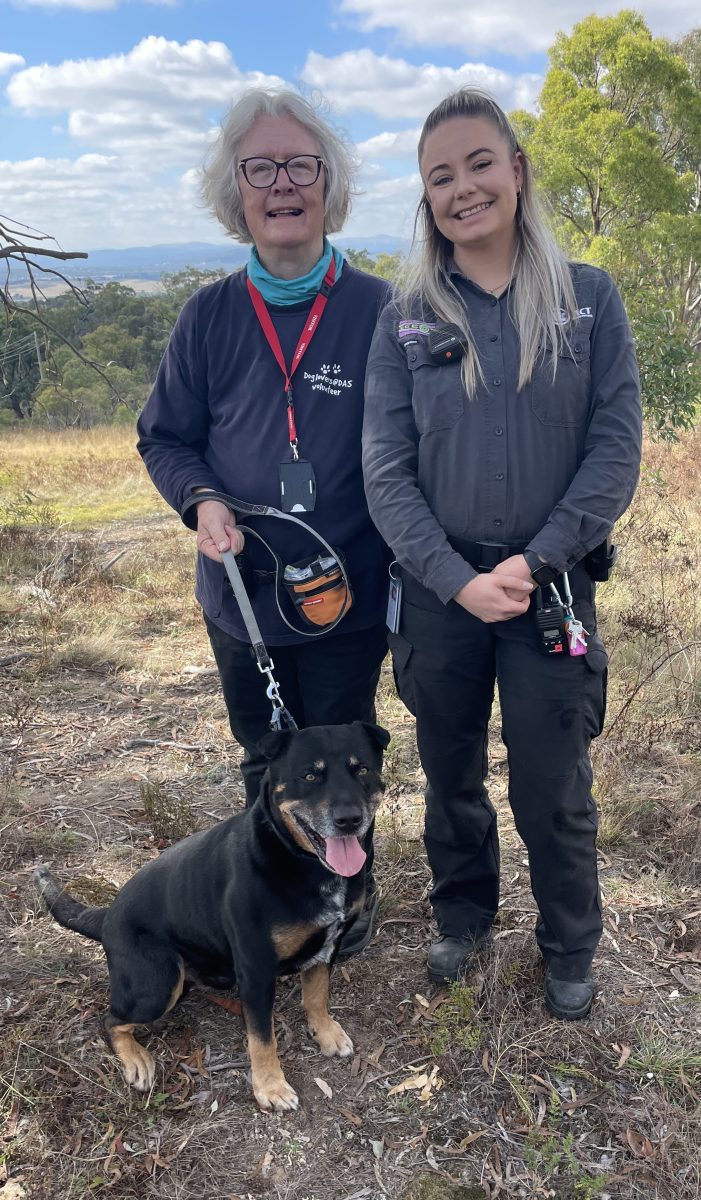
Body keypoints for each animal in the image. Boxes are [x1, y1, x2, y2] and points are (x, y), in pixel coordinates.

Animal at [34, 715, 388, 1108]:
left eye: (362, 769)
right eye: (310, 775)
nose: (349, 819)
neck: (296, 857)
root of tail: (107, 915)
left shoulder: (328, 945)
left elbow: (317, 995)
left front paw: (325, 1032)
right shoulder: (255, 968)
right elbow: (262, 1038)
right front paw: (270, 1086)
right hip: (159, 984)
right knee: (110, 1020)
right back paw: (137, 1060)